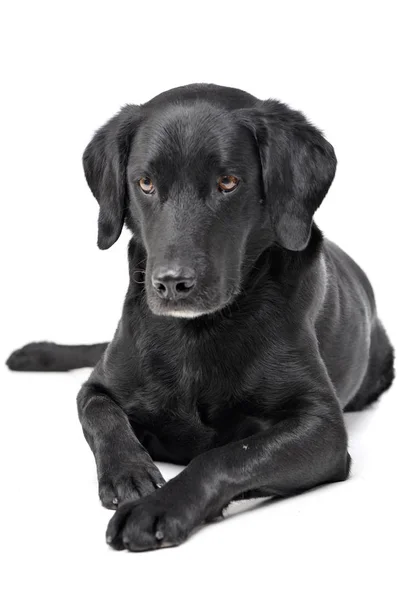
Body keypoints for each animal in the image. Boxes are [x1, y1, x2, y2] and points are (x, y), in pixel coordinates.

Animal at [7, 85, 396, 552]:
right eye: (146, 183)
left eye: (228, 183)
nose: (172, 283)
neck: (196, 332)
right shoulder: (97, 386)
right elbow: (102, 415)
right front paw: (129, 474)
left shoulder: (323, 427)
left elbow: (224, 455)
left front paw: (157, 507)